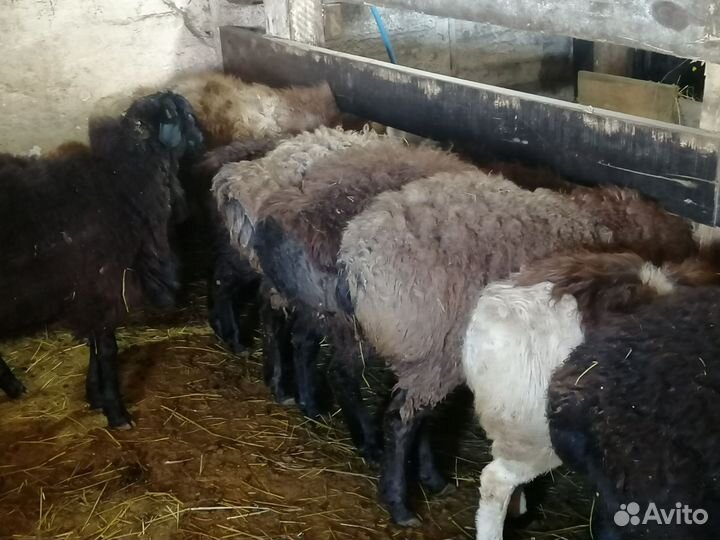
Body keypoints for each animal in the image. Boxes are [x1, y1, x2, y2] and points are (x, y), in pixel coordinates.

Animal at [0, 91, 203, 428]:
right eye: (186, 115)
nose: (203, 140)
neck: (123, 183)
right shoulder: (102, 287)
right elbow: (106, 349)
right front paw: (115, 410)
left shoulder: (91, 293)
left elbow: (94, 346)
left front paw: (94, 395)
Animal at [337, 170, 700, 525]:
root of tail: (356, 256)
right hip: (433, 350)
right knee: (401, 420)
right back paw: (400, 506)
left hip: (429, 355)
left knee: (412, 412)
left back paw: (432, 479)